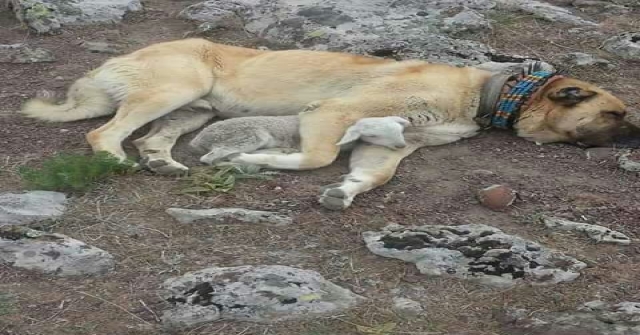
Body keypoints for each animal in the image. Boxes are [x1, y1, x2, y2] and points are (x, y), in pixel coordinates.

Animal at [21, 38, 632, 210]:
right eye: (617, 114)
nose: (637, 138)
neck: (490, 94)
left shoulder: (396, 144)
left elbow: (374, 169)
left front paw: (348, 189)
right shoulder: (331, 114)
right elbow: (316, 155)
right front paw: (251, 162)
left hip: (197, 107)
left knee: (155, 138)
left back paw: (162, 163)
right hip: (179, 87)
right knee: (103, 133)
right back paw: (115, 161)